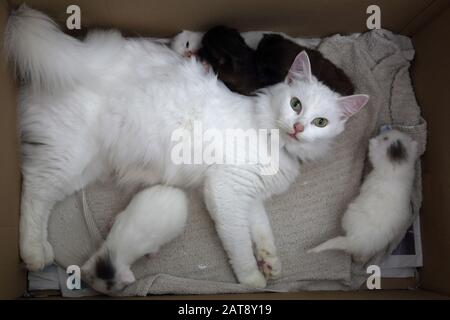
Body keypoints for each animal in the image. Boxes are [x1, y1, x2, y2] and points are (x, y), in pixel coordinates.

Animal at [5, 5, 368, 288]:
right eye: (295, 104)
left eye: (320, 122)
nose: (298, 127)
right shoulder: (225, 189)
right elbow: (239, 244)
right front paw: (253, 279)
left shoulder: (249, 195)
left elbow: (262, 231)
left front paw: (270, 262)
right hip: (68, 155)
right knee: (33, 192)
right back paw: (34, 254)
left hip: (84, 166)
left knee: (43, 197)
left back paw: (41, 248)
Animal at [310, 129, 418, 264]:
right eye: (389, 136)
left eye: (385, 138)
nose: (391, 129)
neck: (396, 172)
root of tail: (353, 241)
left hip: (348, 214)